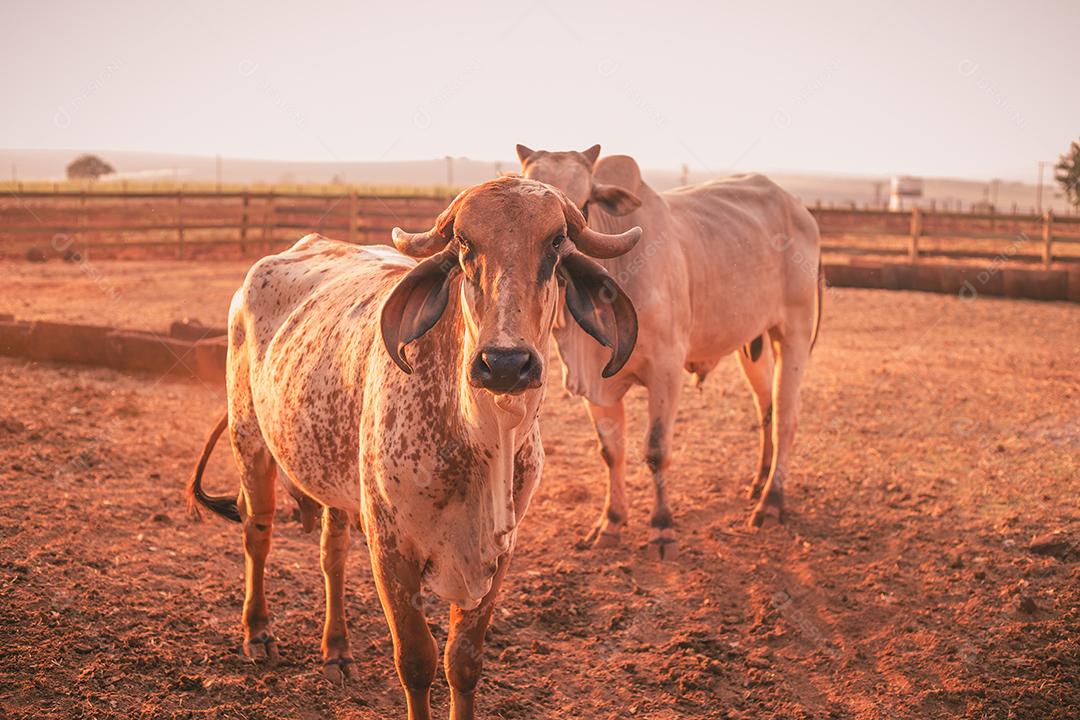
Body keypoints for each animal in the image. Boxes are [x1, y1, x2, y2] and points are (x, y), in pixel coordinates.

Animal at [186, 176, 641, 720]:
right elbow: (417, 660)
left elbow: (462, 661)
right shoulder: (390, 548)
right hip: (249, 437)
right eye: (464, 243)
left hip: (336, 476)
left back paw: (337, 650)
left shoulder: (498, 553)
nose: (505, 363)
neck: (480, 440)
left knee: (331, 553)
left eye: (555, 244)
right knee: (257, 532)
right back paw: (257, 632)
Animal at [517, 144, 823, 555]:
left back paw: (771, 501)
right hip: (751, 346)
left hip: (793, 333)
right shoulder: (596, 389)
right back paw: (759, 481)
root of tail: (799, 208)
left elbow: (656, 450)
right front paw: (610, 522)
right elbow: (611, 452)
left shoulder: (665, 371)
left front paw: (662, 526)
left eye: (582, 205)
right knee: (767, 410)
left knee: (786, 417)